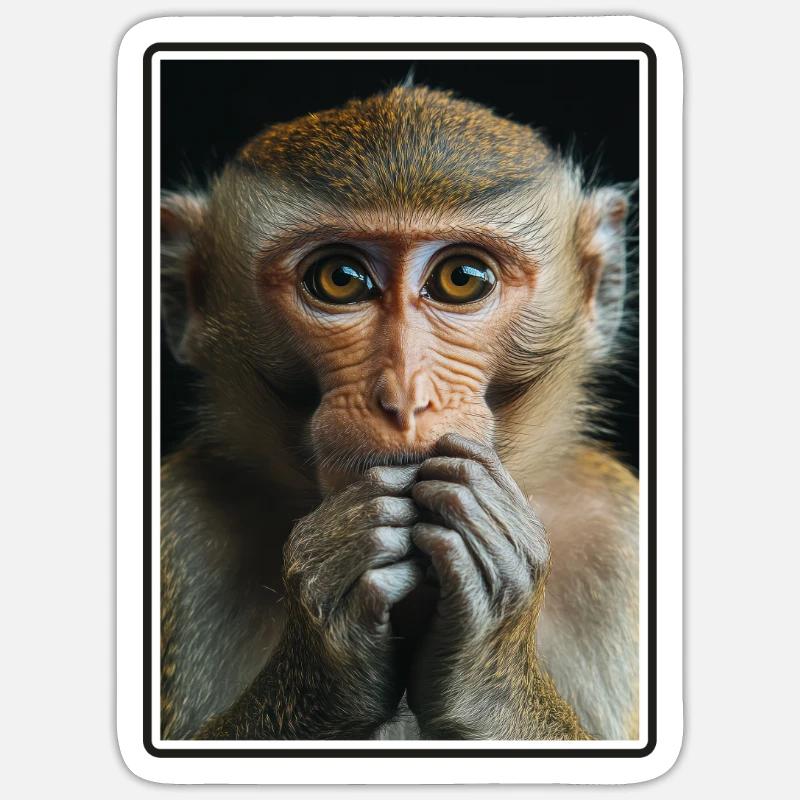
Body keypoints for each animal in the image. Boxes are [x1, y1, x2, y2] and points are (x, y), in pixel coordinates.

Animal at [159, 85, 638, 741]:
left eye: (461, 278)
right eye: (340, 279)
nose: (404, 396)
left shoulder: (618, 535)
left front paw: (489, 667)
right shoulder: (181, 520)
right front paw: (329, 642)